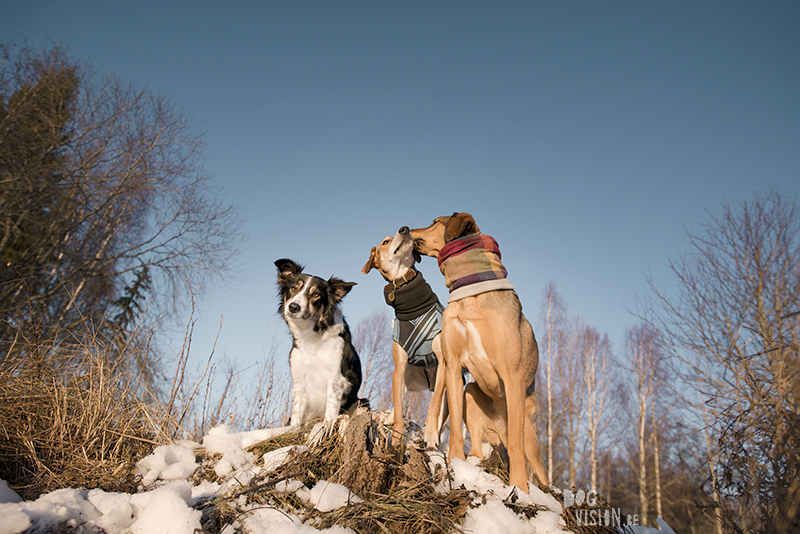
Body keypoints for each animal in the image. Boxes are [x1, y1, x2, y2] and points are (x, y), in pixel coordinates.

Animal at [362, 226, 450, 452]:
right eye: (385, 242)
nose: (405, 229)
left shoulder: (443, 362)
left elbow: (434, 405)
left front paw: (430, 436)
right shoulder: (399, 368)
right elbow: (400, 414)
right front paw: (397, 441)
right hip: (405, 377)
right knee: (398, 401)